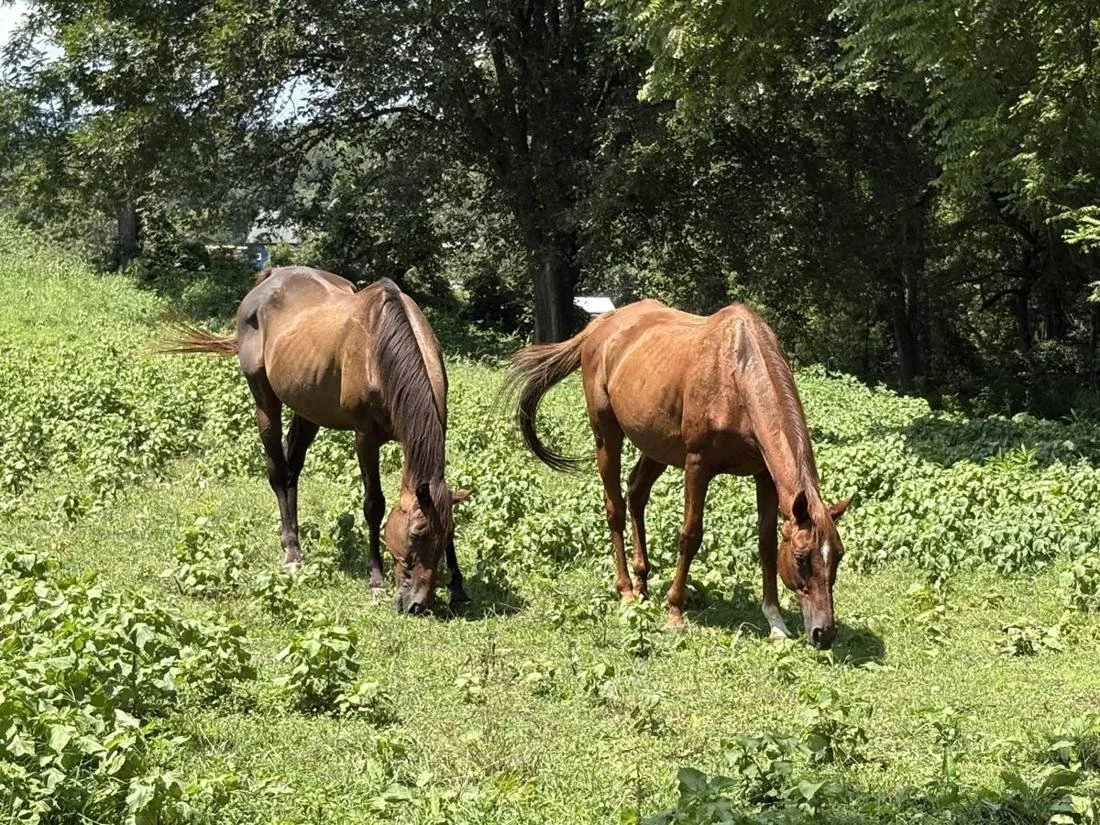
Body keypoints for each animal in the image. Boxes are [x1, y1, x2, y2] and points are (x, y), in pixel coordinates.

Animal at [162, 266, 470, 614]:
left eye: (446, 534)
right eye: (416, 534)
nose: (417, 604)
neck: (379, 353)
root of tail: (270, 278)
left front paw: (459, 588)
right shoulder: (365, 438)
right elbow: (373, 504)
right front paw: (376, 578)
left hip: (306, 409)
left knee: (292, 469)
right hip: (264, 401)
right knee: (278, 472)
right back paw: (292, 552)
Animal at [508, 299, 852, 649]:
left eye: (837, 556)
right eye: (801, 557)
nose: (824, 633)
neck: (736, 374)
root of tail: (600, 326)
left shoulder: (766, 477)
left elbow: (765, 543)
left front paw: (776, 622)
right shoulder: (697, 466)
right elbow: (690, 535)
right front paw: (675, 612)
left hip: (655, 446)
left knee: (636, 493)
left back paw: (642, 582)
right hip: (606, 436)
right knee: (614, 507)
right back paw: (626, 590)